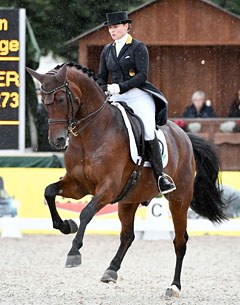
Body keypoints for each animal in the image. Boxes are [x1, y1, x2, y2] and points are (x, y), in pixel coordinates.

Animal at [27, 62, 226, 296]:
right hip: (129, 200)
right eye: (43, 102)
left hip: (179, 199)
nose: (57, 140)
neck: (90, 133)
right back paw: (111, 270)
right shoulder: (77, 186)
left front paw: (74, 252)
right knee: (128, 236)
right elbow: (49, 191)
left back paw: (174, 286)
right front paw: (66, 225)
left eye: (60, 99)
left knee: (180, 241)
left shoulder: (108, 188)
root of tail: (184, 136)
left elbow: (86, 212)